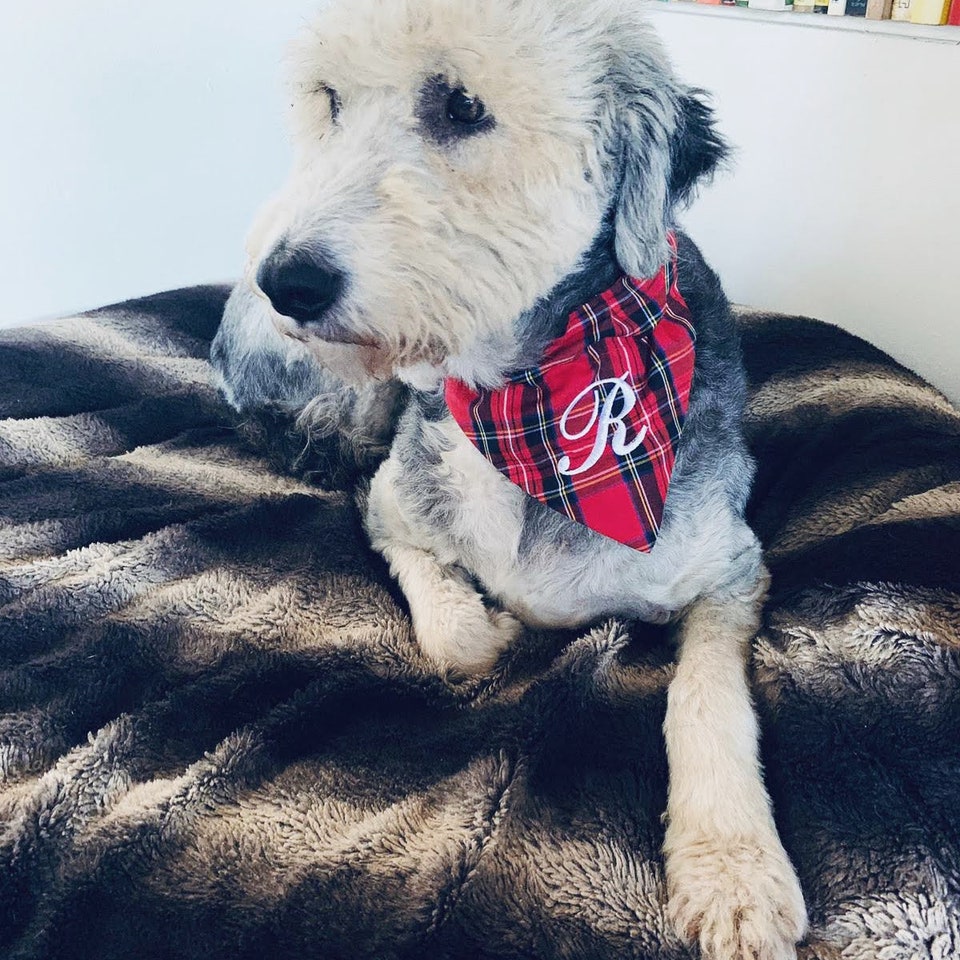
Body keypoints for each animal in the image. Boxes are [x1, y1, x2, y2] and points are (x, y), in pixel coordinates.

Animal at [212, 3, 808, 956]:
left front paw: (733, 870)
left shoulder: (733, 569)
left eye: (462, 106)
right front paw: (485, 625)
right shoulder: (391, 503)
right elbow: (451, 627)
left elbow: (706, 698)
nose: (286, 280)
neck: (525, 409)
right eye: (329, 100)